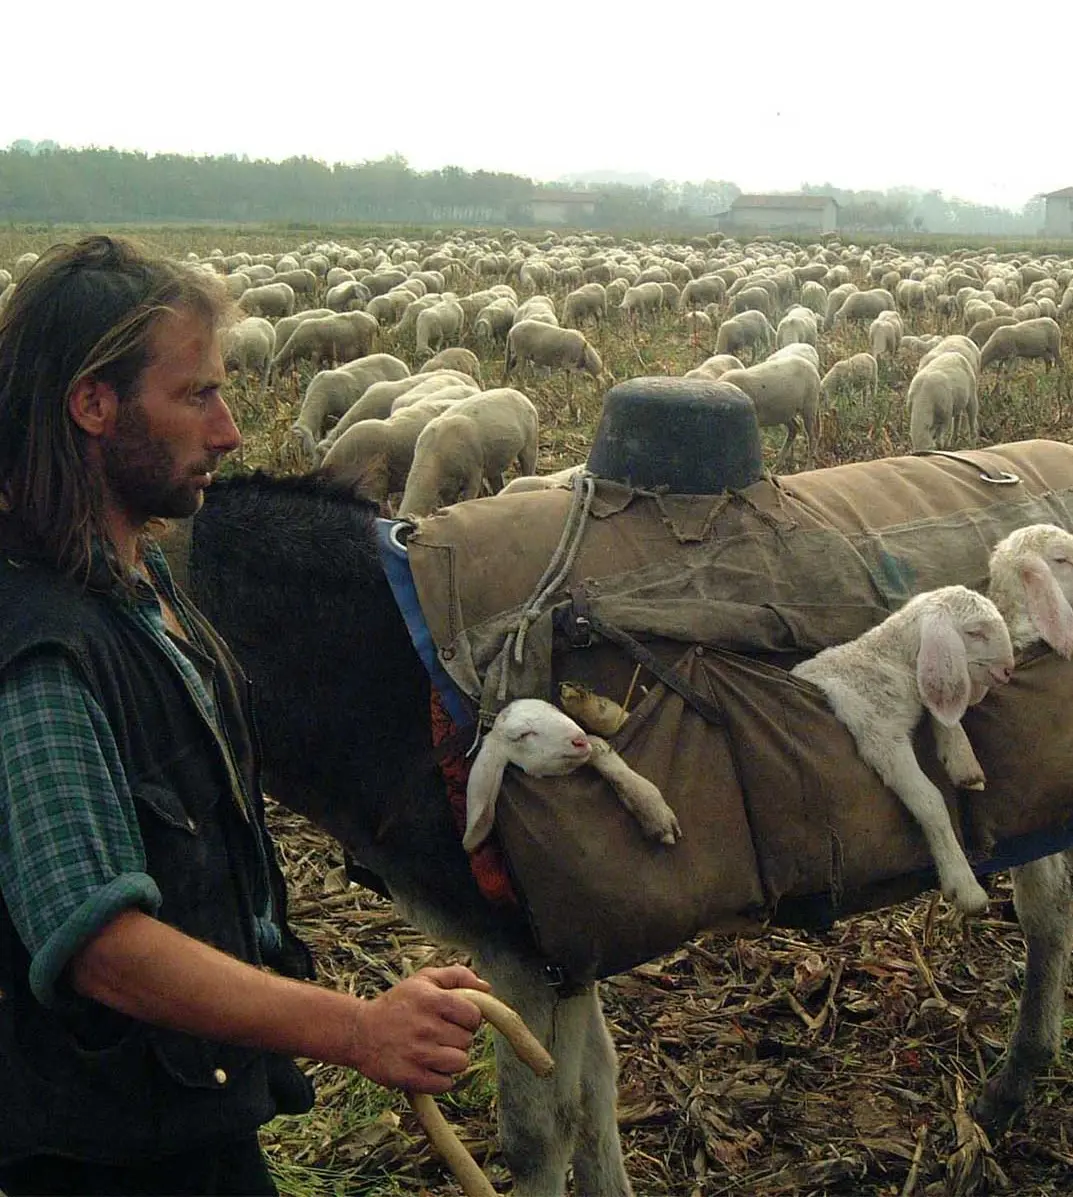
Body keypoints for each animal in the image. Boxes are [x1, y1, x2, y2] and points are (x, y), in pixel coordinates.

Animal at [399, 383, 541, 514]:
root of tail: (518, 393)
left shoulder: (474, 473)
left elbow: (468, 499)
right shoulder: (448, 488)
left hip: (530, 444)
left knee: (529, 468)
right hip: (493, 462)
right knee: (498, 484)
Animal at [790, 588, 1020, 914]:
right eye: (975, 632)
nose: (1007, 670)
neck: (887, 660)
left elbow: (941, 710)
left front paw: (963, 761)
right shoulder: (882, 736)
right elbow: (931, 801)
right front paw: (964, 885)